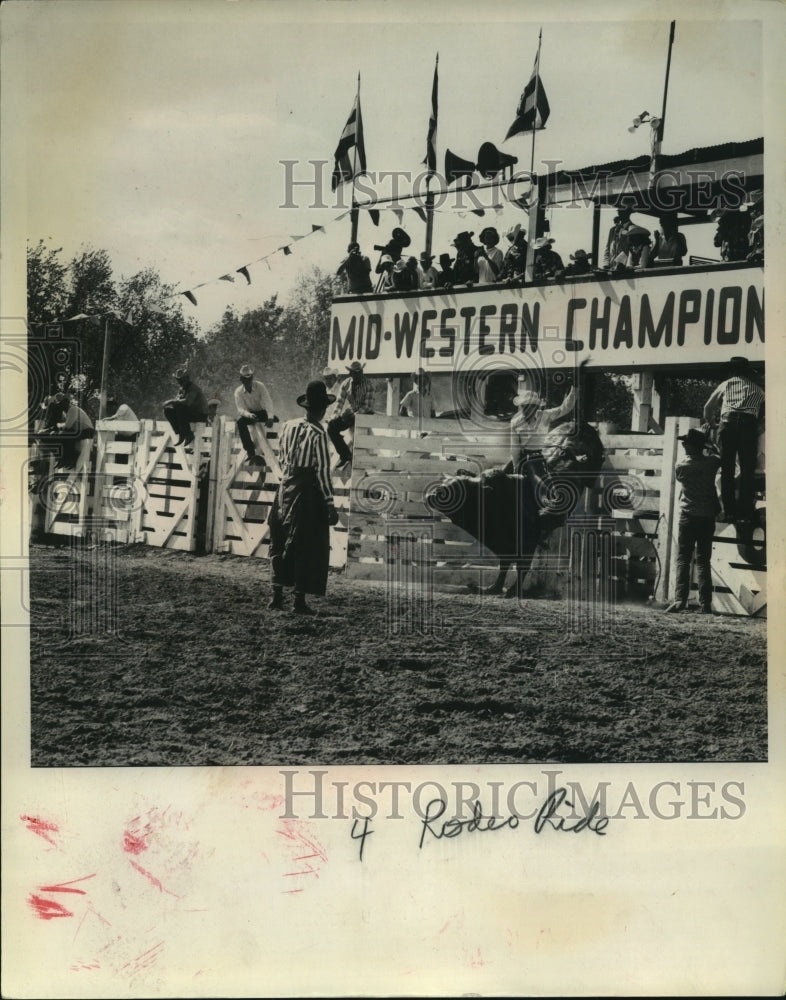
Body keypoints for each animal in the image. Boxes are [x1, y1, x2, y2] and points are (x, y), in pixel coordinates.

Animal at [426, 420, 604, 596]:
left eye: (458, 486)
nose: (435, 492)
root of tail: (578, 423)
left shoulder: (528, 543)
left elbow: (522, 567)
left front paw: (512, 591)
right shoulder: (505, 546)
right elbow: (504, 565)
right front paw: (493, 588)